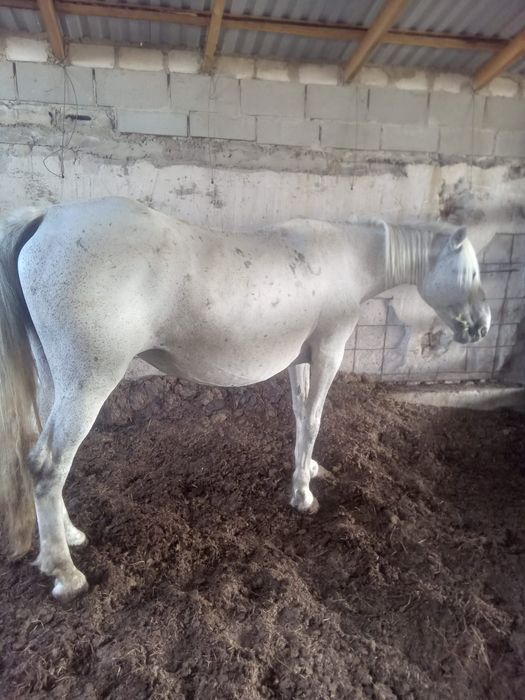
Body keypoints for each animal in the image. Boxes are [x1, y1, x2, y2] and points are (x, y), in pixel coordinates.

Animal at [0, 197, 490, 602]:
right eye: (470, 272)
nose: (483, 325)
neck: (346, 257)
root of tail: (46, 217)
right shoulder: (328, 352)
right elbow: (315, 419)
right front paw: (304, 496)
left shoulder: (301, 359)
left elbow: (300, 416)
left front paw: (307, 470)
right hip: (89, 383)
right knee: (48, 465)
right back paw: (65, 574)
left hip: (60, 382)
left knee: (44, 458)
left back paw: (69, 537)